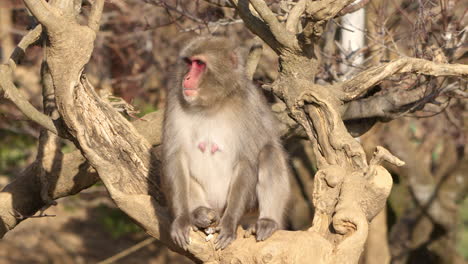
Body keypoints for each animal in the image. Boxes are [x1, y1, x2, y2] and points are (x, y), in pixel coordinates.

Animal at [163, 36, 290, 250]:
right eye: (189, 63)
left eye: (199, 64)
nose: (186, 78)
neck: (213, 104)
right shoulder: (175, 98)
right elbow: (175, 156)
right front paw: (181, 219)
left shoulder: (249, 105)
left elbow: (247, 160)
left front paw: (229, 224)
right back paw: (198, 213)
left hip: (250, 206)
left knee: (269, 151)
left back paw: (267, 221)